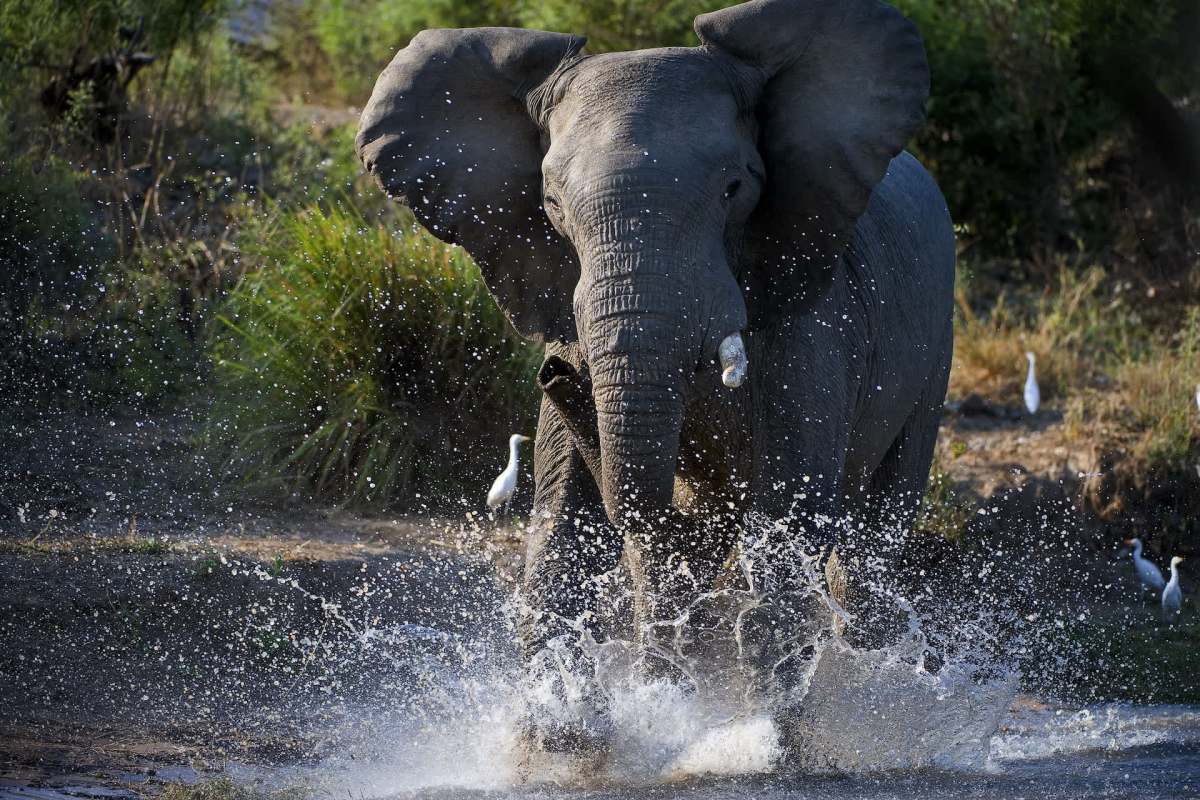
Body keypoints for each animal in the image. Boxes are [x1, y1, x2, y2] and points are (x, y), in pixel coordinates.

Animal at [356, 0, 955, 756]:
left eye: (735, 188)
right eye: (551, 203)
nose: (554, 373)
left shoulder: (815, 317)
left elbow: (785, 522)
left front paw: (766, 748)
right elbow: (564, 534)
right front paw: (563, 742)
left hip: (934, 348)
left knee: (873, 544)